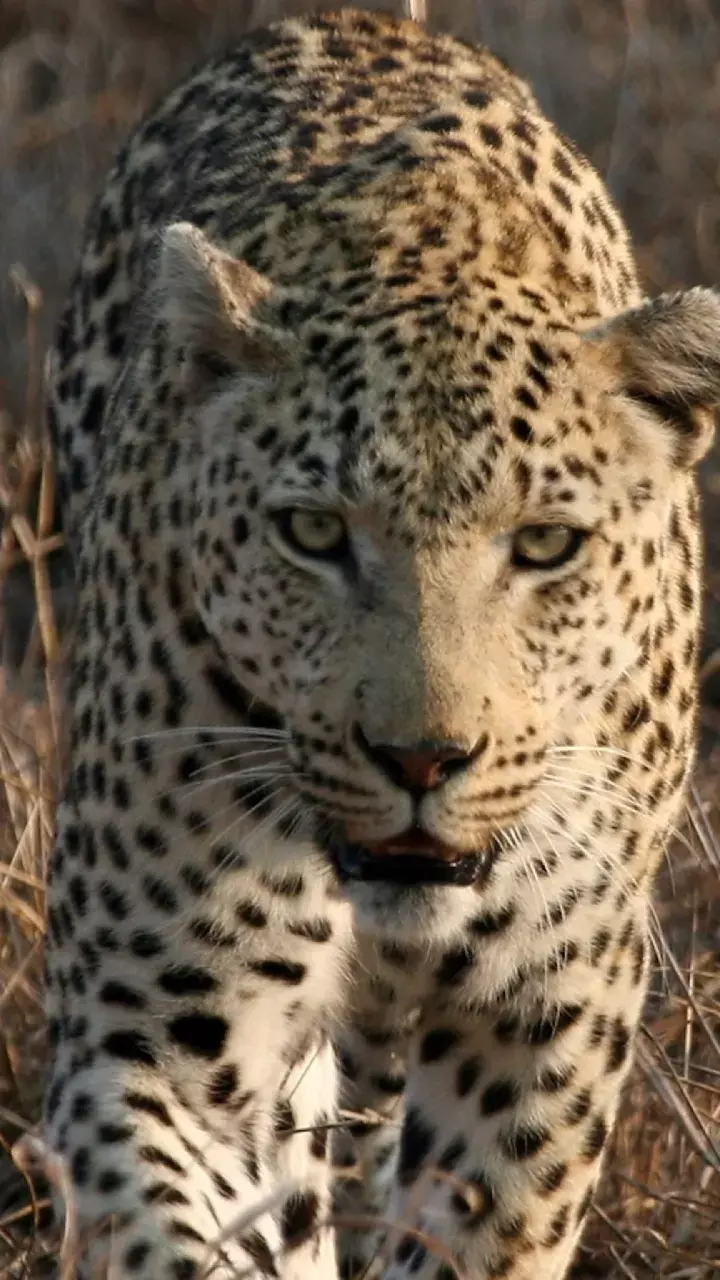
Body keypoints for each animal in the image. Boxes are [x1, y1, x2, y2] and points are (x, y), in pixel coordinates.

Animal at [41, 8, 720, 1280]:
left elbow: (483, 1231)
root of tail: (346, 19)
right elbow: (179, 1237)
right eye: (313, 531)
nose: (421, 760)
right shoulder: (145, 1033)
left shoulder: (544, 1018)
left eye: (546, 543)